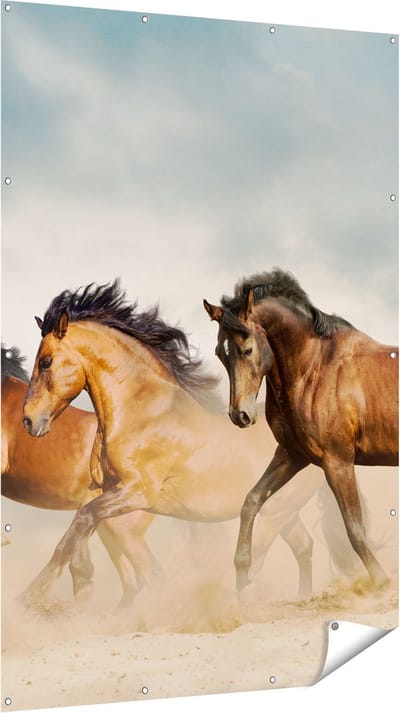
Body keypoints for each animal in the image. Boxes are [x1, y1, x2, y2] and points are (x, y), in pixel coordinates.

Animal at [20, 281, 336, 605]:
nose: (29, 420)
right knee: (303, 546)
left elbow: (84, 521)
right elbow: (76, 530)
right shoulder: (100, 487)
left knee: (260, 557)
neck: (143, 413)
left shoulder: (137, 491)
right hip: (284, 513)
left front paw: (45, 591)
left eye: (45, 362)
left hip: (275, 514)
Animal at [204, 267, 398, 591]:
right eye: (220, 352)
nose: (239, 415)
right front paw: (243, 580)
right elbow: (251, 501)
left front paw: (382, 582)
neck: (314, 369)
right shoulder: (292, 455)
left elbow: (354, 529)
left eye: (247, 349)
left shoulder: (337, 462)